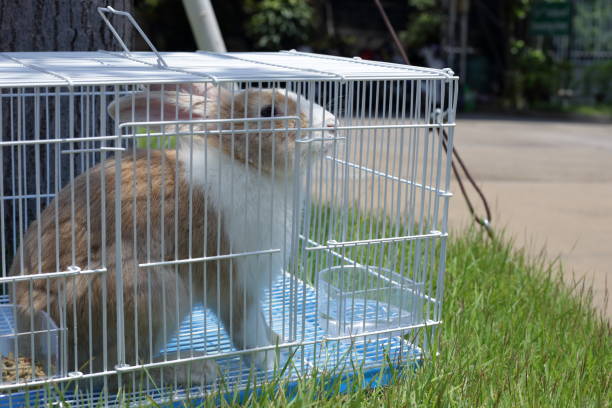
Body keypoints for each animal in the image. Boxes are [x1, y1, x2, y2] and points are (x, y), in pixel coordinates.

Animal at [7, 83, 338, 392]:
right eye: (268, 111)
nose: (333, 125)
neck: (244, 161)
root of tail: (33, 336)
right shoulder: (237, 282)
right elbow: (249, 329)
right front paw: (272, 361)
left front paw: (280, 341)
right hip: (150, 292)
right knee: (114, 374)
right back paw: (194, 368)